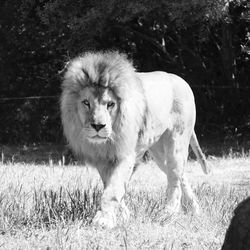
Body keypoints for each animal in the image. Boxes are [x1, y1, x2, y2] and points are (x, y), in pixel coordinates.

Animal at [60, 51, 209, 229]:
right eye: (86, 103)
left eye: (110, 104)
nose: (98, 126)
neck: (106, 142)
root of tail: (182, 81)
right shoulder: (103, 160)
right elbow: (112, 186)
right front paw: (123, 216)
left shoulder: (125, 155)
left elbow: (113, 189)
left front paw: (105, 219)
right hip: (159, 153)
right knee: (181, 176)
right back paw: (195, 209)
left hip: (176, 142)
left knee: (174, 179)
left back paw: (169, 213)